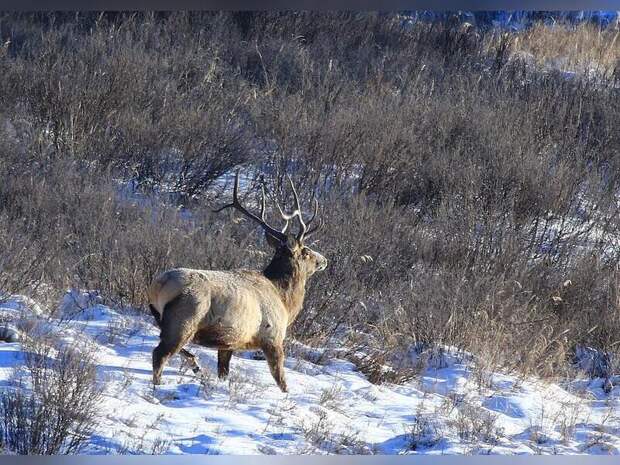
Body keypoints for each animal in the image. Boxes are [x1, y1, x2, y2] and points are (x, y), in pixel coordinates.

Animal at [147, 169, 326, 388]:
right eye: (306, 252)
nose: (324, 260)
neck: (285, 301)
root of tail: (157, 286)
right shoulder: (273, 337)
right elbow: (281, 381)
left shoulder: (229, 342)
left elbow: (224, 371)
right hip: (185, 318)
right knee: (160, 354)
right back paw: (159, 385)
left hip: (161, 318)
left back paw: (195, 365)